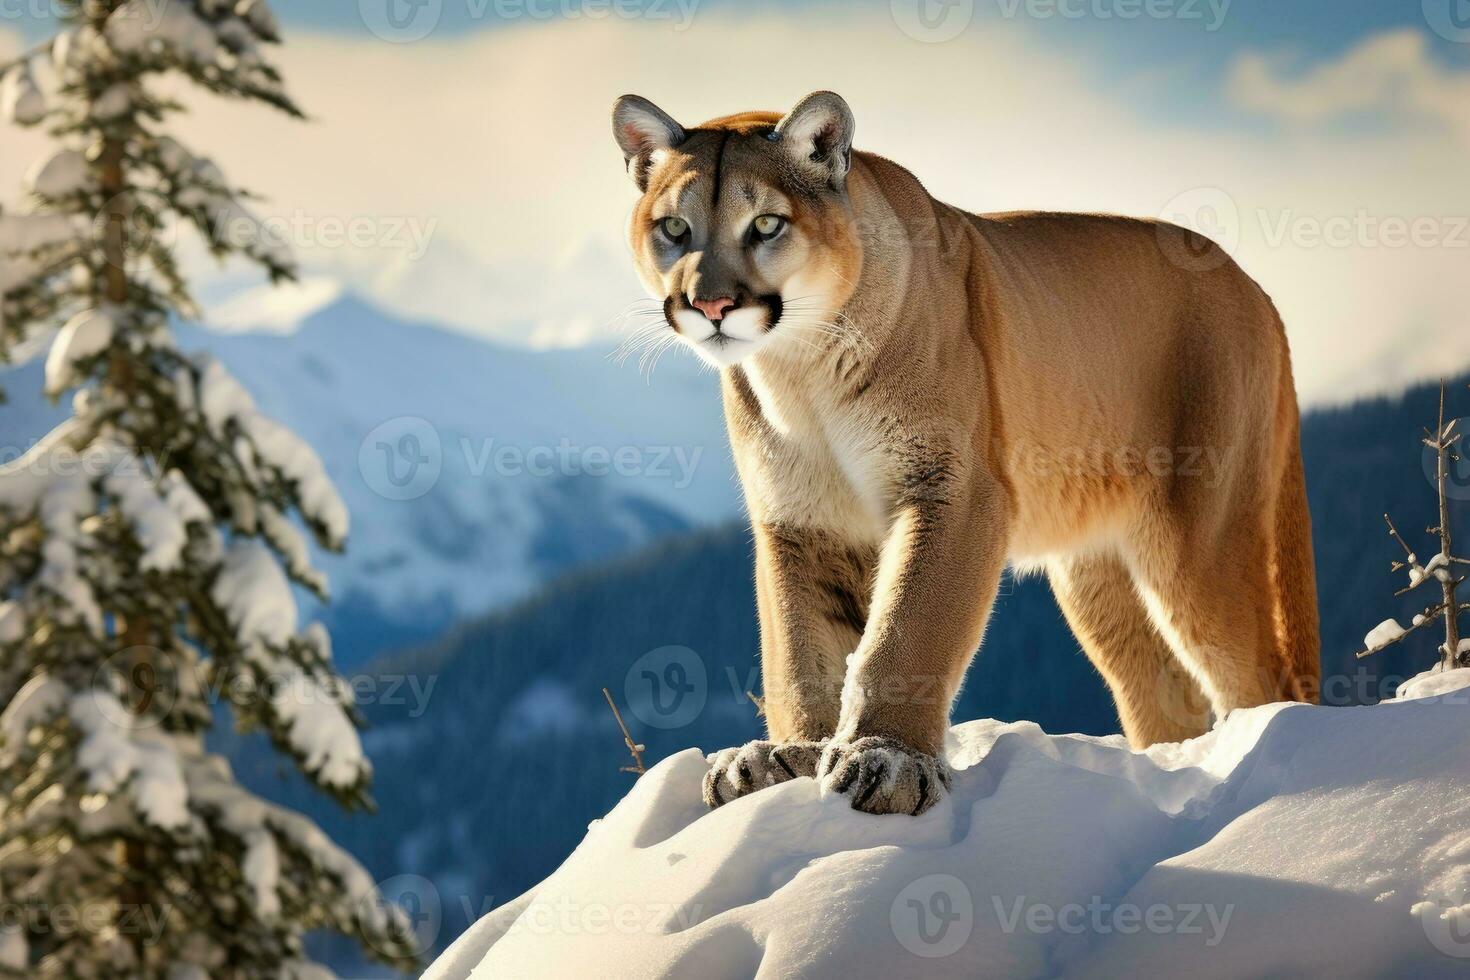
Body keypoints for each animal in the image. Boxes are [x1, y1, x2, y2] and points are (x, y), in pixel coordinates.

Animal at [608, 91, 1323, 816]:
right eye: (674, 228)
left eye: (767, 224)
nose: (710, 304)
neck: (801, 370)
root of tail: (1256, 287)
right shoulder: (798, 521)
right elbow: (798, 649)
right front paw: (787, 758)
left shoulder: (952, 490)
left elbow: (907, 630)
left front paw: (886, 761)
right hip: (1095, 575)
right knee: (1160, 693)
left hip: (1196, 541)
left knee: (1261, 675)